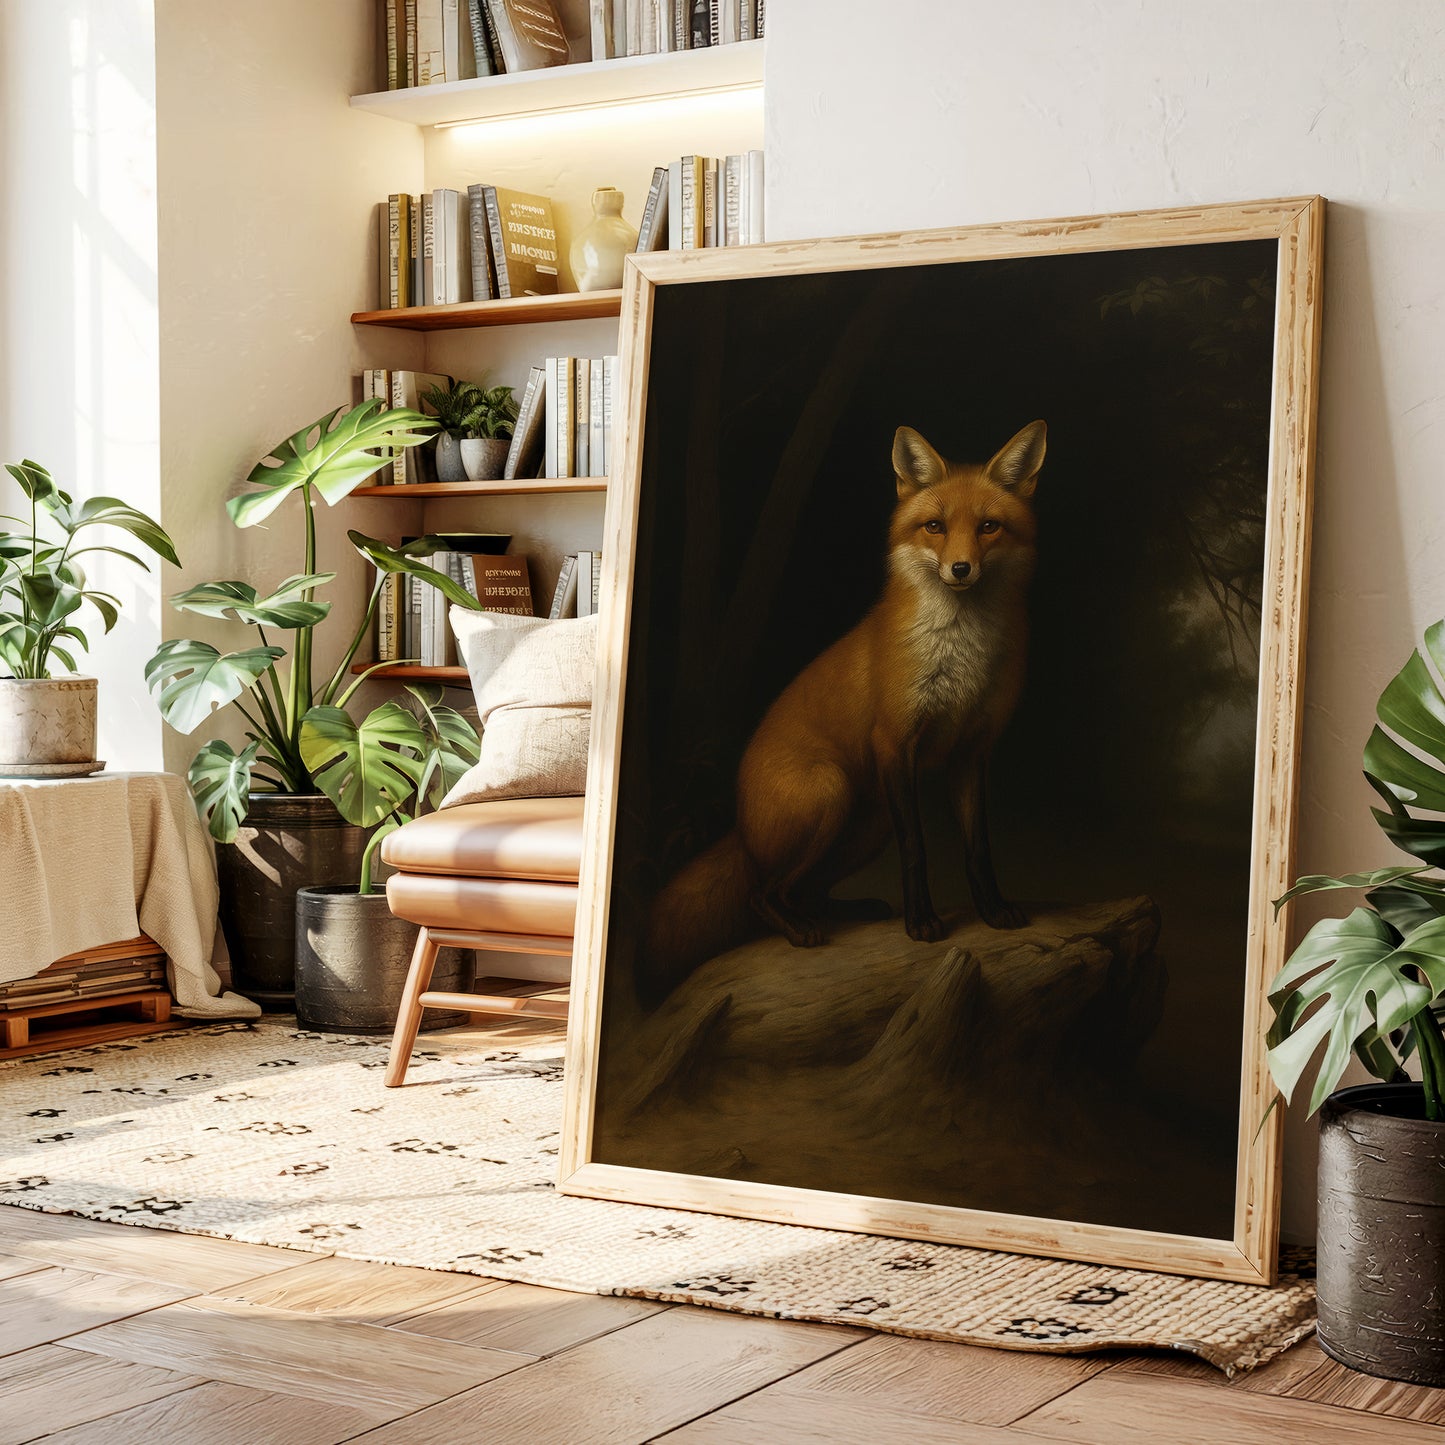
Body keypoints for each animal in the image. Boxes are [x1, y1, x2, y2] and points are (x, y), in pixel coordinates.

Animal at [645, 419, 1046, 987]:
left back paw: (847, 910)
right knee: (761, 893)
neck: (962, 660)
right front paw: (921, 923)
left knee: (805, 888)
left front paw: (992, 910)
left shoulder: (971, 752)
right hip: (831, 793)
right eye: (936, 527)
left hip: (868, 820)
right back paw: (799, 930)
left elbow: (978, 848)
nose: (961, 568)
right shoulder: (895, 742)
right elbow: (917, 849)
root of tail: (741, 826)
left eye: (989, 526)